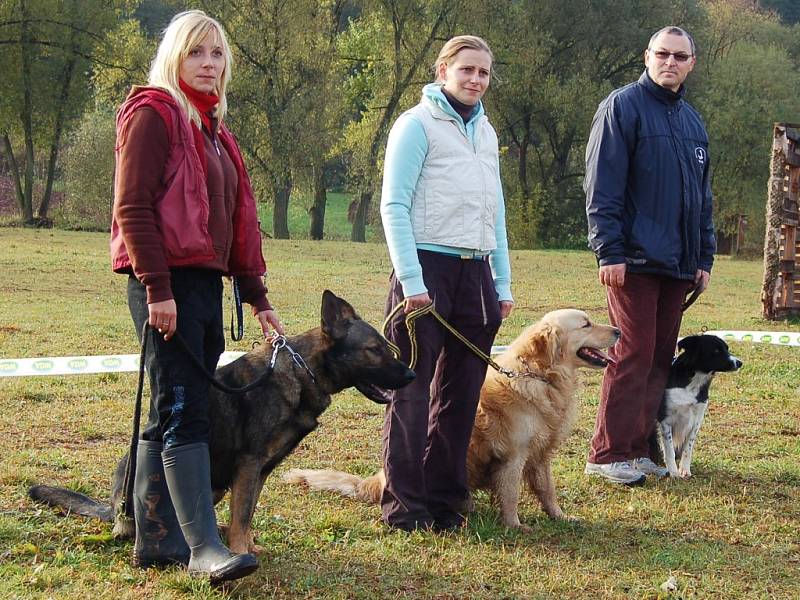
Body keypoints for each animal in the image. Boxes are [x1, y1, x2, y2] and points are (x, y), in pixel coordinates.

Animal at [28, 290, 416, 552]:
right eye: (374, 351)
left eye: (387, 348)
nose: (412, 375)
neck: (301, 371)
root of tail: (112, 507)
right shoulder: (248, 465)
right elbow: (242, 515)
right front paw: (242, 553)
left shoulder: (259, 471)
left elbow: (245, 515)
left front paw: (246, 546)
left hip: (215, 486)